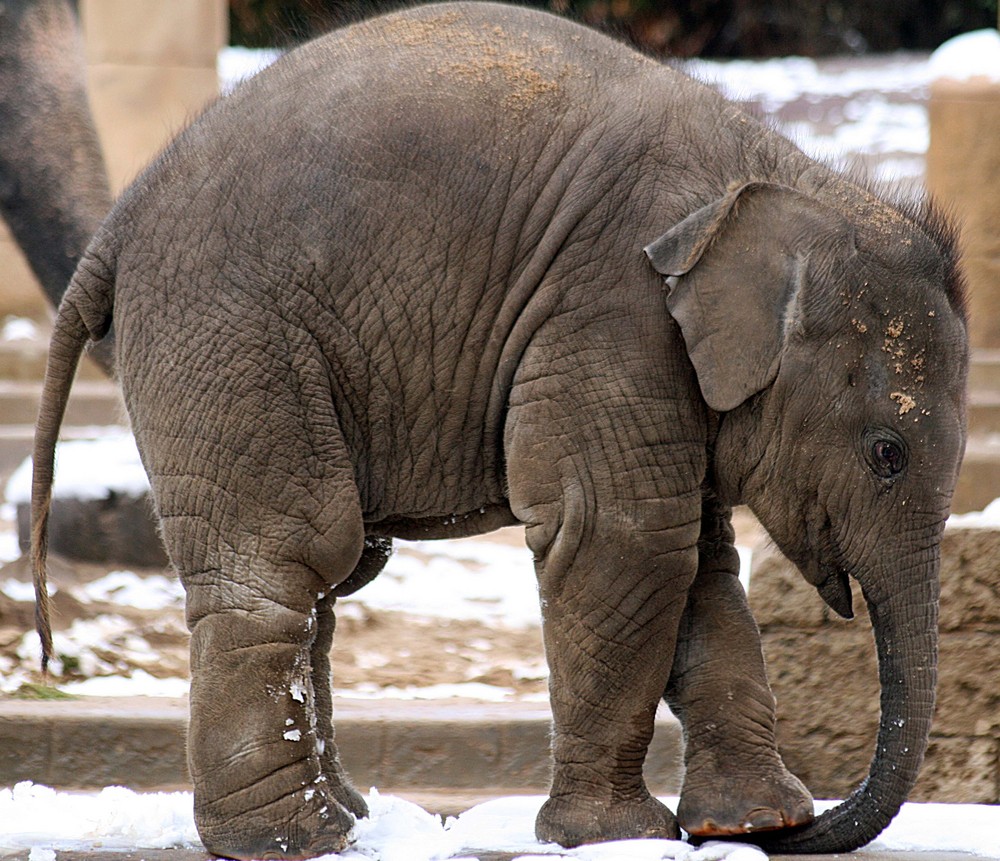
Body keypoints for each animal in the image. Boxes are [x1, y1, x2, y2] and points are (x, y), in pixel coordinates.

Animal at [33, 3, 968, 856]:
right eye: (886, 454)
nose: (816, 826)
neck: (784, 184)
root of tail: (114, 231)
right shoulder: (609, 312)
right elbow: (623, 538)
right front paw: (617, 837)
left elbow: (700, 561)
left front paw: (748, 825)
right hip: (230, 334)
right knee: (287, 555)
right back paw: (295, 840)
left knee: (326, 573)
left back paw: (351, 823)